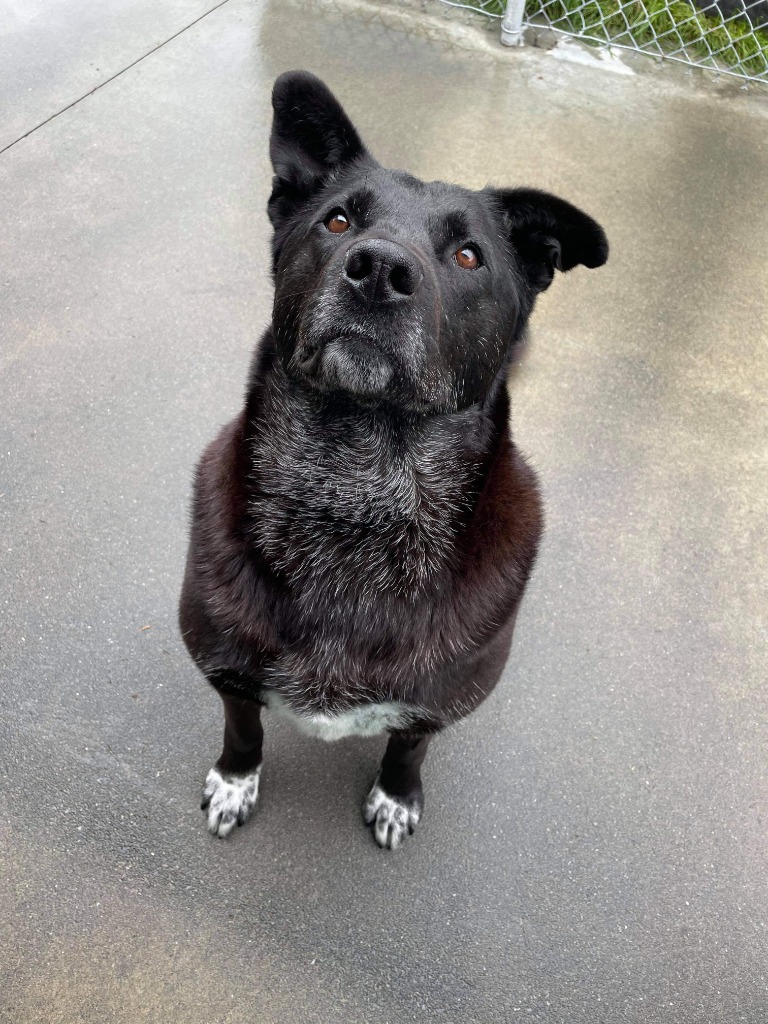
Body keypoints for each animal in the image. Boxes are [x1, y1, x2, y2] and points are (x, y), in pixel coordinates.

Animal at [180, 70, 606, 847]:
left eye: (468, 255)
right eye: (338, 221)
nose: (377, 269)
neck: (356, 489)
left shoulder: (438, 703)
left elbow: (409, 745)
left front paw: (396, 796)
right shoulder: (226, 672)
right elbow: (243, 728)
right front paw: (234, 780)